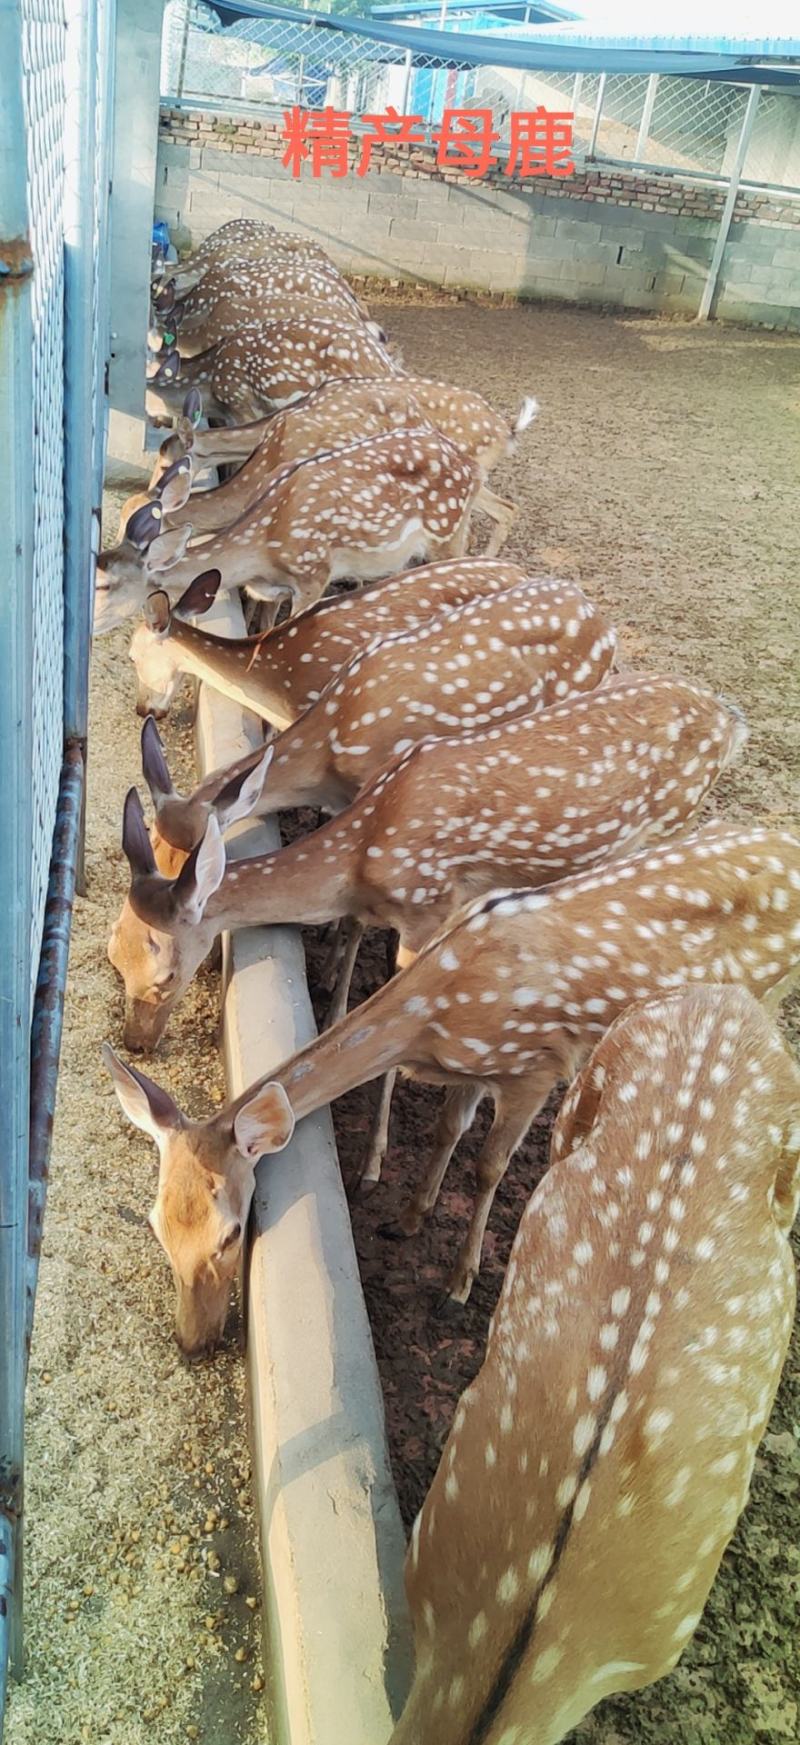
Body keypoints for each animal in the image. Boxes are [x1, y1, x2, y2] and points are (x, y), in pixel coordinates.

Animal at [95, 424, 489, 635]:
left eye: (104, 584)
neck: (262, 547)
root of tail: (471, 466)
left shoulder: (313, 577)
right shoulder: (271, 590)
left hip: (447, 531)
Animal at [110, 677, 744, 1060]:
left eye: (165, 974)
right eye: (113, 954)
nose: (135, 1042)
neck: (364, 852)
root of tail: (732, 719)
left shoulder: (429, 909)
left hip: (673, 820)